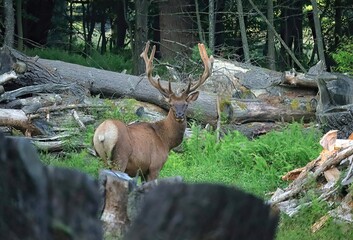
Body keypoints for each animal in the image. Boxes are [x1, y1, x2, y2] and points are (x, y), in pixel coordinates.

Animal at [93, 41, 212, 181]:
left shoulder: (142, 172)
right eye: (171, 104)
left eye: (186, 104)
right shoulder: (155, 166)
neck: (166, 141)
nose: (179, 115)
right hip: (120, 158)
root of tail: (102, 134)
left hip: (101, 158)